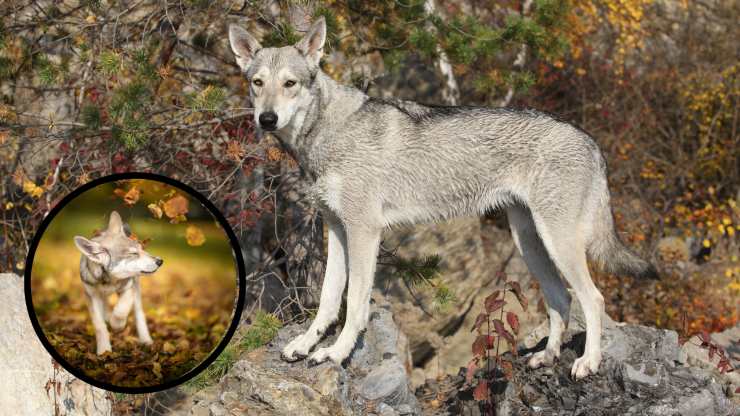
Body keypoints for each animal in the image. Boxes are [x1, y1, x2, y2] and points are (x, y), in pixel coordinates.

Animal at [73, 211, 163, 355]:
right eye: (134, 253)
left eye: (142, 249)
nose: (160, 261)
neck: (109, 281)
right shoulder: (91, 296)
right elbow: (99, 325)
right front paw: (104, 350)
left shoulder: (129, 288)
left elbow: (121, 310)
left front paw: (117, 326)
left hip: (136, 291)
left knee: (139, 314)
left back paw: (146, 340)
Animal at [229, 17, 657, 379]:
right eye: (257, 83)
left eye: (290, 84)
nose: (267, 119)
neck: (327, 133)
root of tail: (591, 140)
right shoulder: (335, 230)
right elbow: (328, 300)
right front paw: (305, 345)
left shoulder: (364, 231)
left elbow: (355, 306)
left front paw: (336, 353)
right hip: (531, 243)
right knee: (561, 299)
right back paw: (546, 357)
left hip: (558, 242)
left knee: (594, 299)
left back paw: (588, 362)